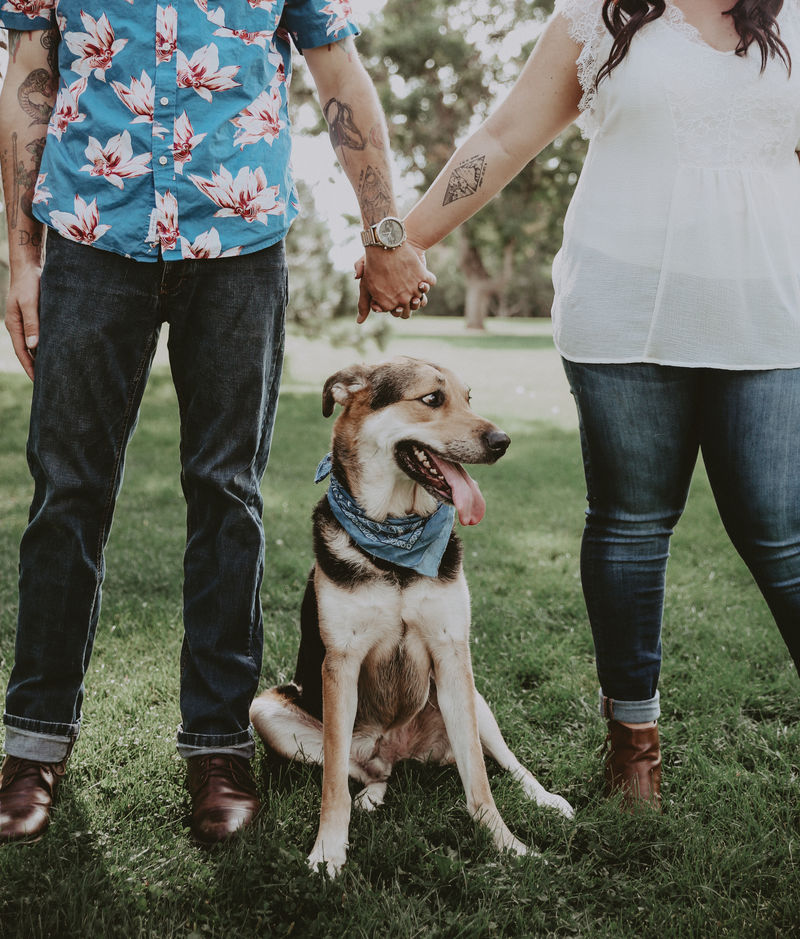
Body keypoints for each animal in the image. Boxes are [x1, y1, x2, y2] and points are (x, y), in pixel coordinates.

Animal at [252, 356, 576, 876]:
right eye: (431, 399)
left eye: (469, 398)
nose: (503, 441)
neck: (395, 549)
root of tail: (400, 749)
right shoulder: (339, 665)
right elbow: (332, 787)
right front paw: (328, 851)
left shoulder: (452, 653)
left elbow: (479, 779)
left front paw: (508, 845)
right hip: (269, 712)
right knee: (366, 771)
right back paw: (372, 795)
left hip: (474, 699)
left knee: (505, 760)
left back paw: (544, 797)